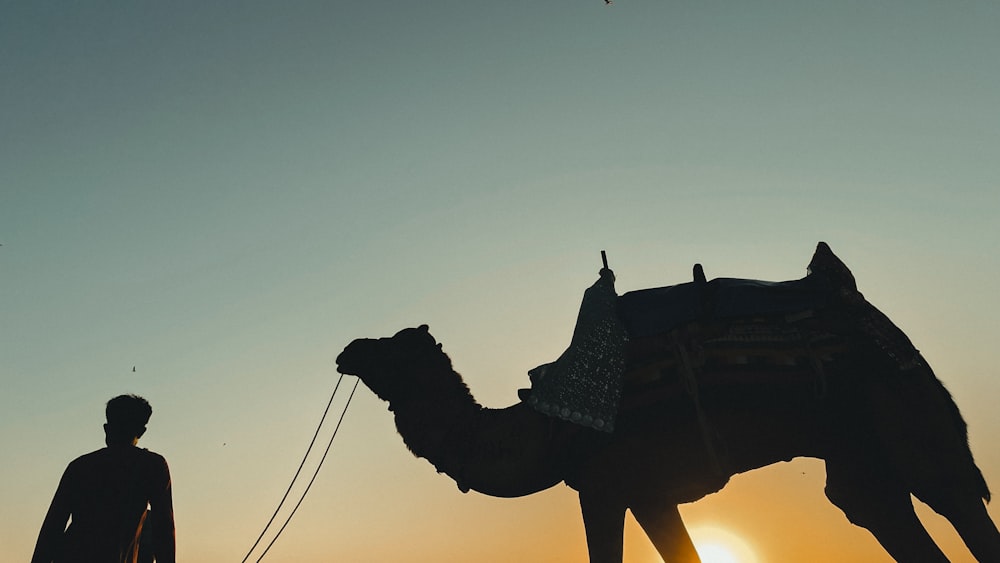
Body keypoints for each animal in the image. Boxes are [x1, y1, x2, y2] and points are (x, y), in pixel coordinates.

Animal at [338, 243, 1000, 563]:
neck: (549, 429)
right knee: (879, 509)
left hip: (905, 413)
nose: (347, 350)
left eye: (395, 348)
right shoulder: (648, 492)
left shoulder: (603, 484)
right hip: (855, 447)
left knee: (956, 498)